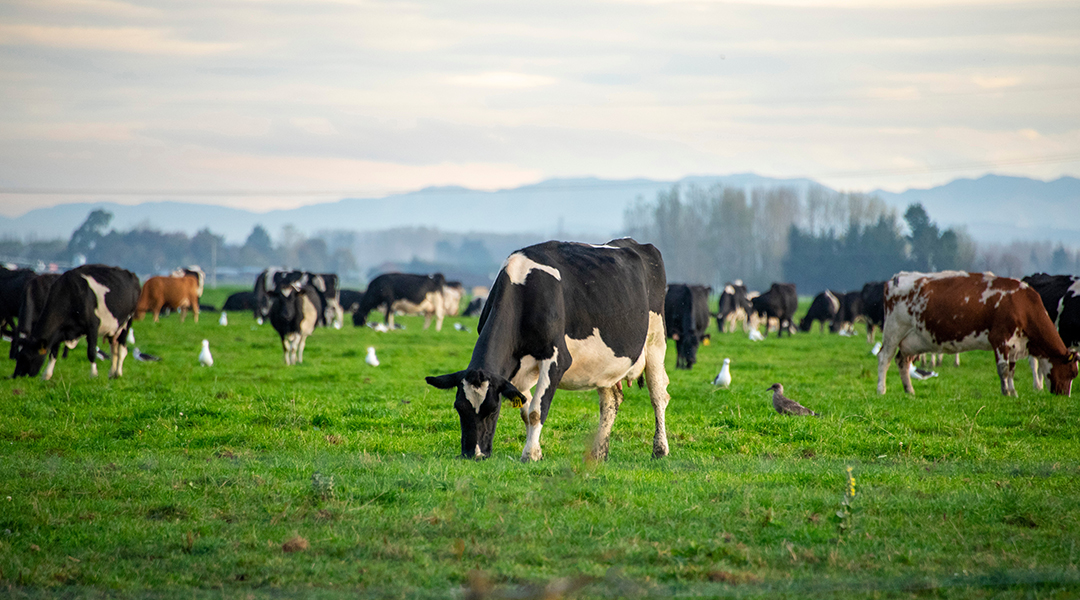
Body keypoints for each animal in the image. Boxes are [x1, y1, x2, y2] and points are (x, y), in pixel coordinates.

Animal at [425, 239, 672, 462]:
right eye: (458, 407)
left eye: (493, 409)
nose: (473, 454)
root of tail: (636, 244)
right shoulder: (518, 370)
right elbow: (525, 412)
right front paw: (536, 451)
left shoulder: (556, 360)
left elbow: (536, 411)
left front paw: (530, 455)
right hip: (607, 364)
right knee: (611, 402)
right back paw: (597, 454)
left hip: (656, 341)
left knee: (658, 395)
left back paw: (660, 450)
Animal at [877, 271, 1078, 397]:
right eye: (1072, 373)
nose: (1064, 396)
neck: (1021, 304)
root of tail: (897, 277)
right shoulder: (1000, 338)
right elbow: (1003, 369)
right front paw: (1006, 393)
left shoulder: (1014, 344)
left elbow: (1012, 370)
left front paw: (1013, 391)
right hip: (894, 331)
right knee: (884, 358)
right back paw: (881, 390)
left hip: (912, 341)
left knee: (902, 361)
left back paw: (909, 391)